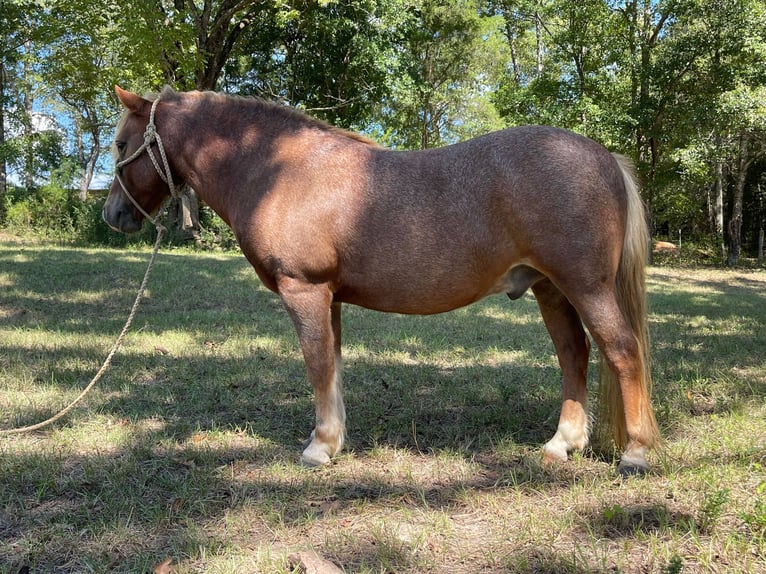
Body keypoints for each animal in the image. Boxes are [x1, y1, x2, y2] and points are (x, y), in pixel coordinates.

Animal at [105, 84, 664, 472]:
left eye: (119, 144)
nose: (114, 216)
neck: (279, 170)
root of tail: (605, 157)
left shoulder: (303, 290)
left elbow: (316, 365)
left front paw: (318, 448)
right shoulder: (329, 297)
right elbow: (331, 365)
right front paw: (334, 439)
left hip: (585, 286)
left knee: (621, 350)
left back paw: (635, 454)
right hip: (551, 288)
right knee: (574, 354)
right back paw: (561, 444)